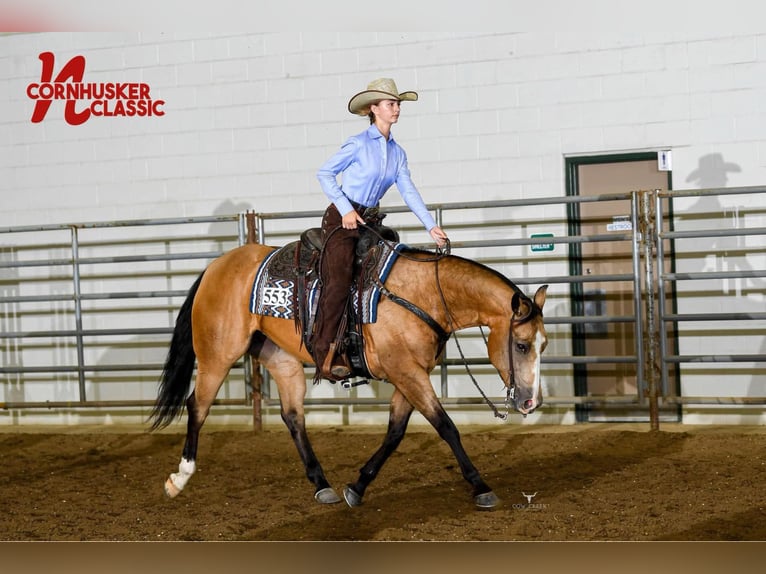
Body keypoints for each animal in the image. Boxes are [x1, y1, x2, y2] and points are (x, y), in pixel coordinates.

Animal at [147, 232, 548, 510]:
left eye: (543, 345)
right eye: (521, 345)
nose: (531, 402)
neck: (421, 295)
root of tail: (215, 267)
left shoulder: (409, 374)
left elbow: (395, 433)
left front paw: (357, 487)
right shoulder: (408, 372)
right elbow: (446, 427)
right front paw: (481, 487)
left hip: (282, 360)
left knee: (293, 416)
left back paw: (321, 484)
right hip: (217, 355)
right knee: (197, 406)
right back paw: (179, 478)